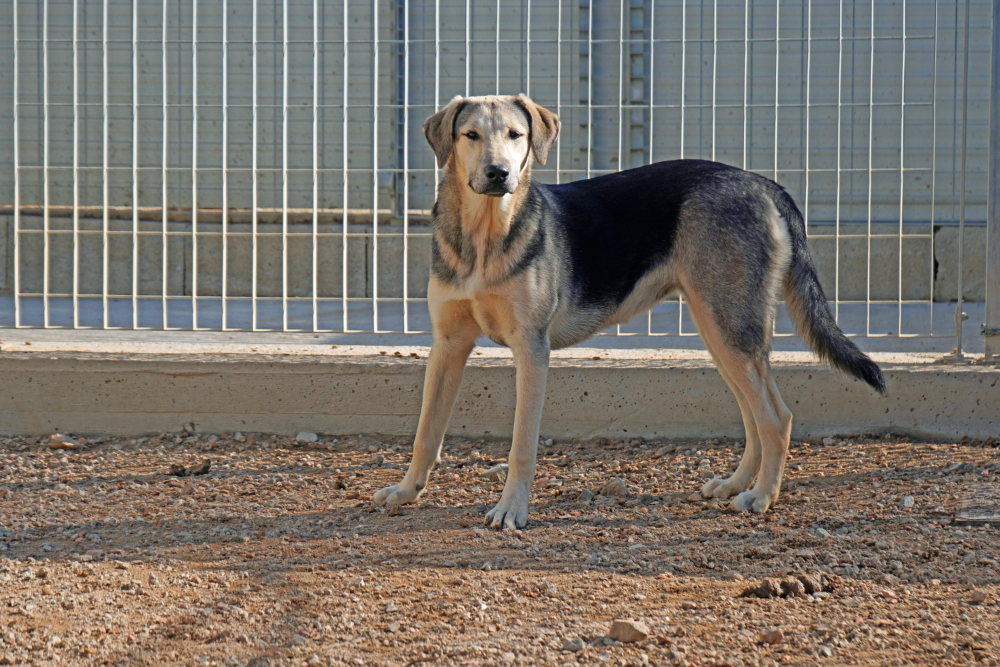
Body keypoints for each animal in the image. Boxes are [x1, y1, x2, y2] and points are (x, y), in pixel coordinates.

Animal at [372, 94, 886, 529]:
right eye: (471, 135)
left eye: (516, 135)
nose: (499, 173)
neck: (484, 236)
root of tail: (764, 183)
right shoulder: (448, 345)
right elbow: (425, 432)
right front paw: (406, 492)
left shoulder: (531, 350)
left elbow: (521, 446)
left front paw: (511, 510)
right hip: (721, 333)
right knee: (754, 416)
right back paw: (737, 484)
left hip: (730, 330)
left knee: (777, 418)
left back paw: (761, 496)